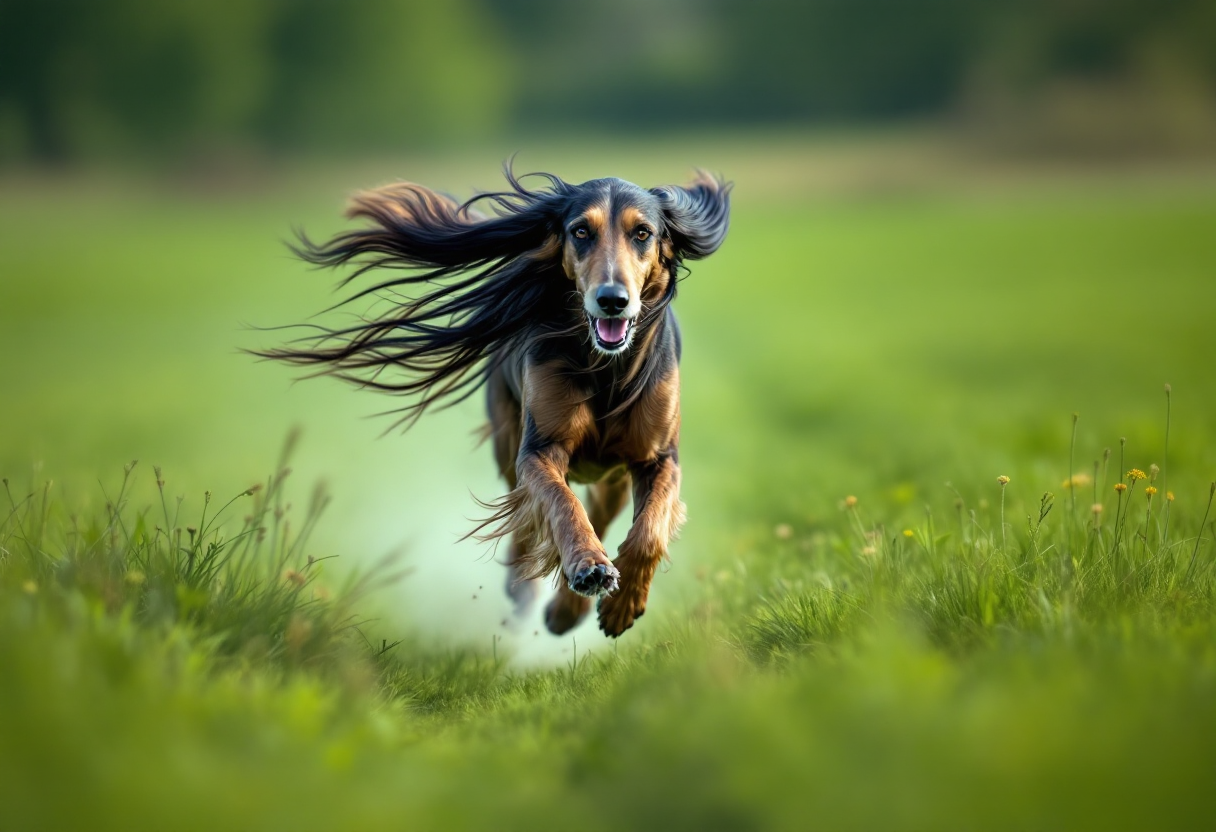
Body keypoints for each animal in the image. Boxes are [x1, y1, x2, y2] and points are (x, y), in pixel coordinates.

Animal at [265, 169, 729, 637]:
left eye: (643, 233)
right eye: (581, 231)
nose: (612, 300)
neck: (606, 370)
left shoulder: (658, 457)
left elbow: (648, 530)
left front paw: (622, 601)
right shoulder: (538, 449)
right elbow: (560, 505)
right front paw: (587, 566)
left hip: (611, 470)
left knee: (597, 510)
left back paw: (568, 610)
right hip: (507, 441)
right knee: (528, 515)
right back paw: (530, 592)